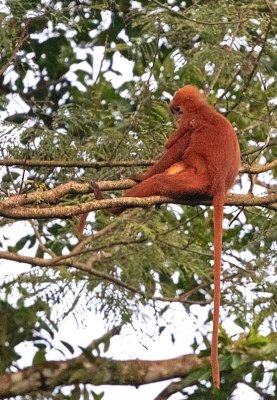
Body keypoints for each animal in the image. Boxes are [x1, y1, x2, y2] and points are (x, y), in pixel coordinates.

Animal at [107, 85, 239, 388]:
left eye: (177, 111)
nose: (175, 117)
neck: (204, 109)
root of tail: (220, 186)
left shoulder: (190, 124)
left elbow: (172, 150)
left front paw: (139, 176)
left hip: (196, 181)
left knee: (163, 177)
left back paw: (116, 204)